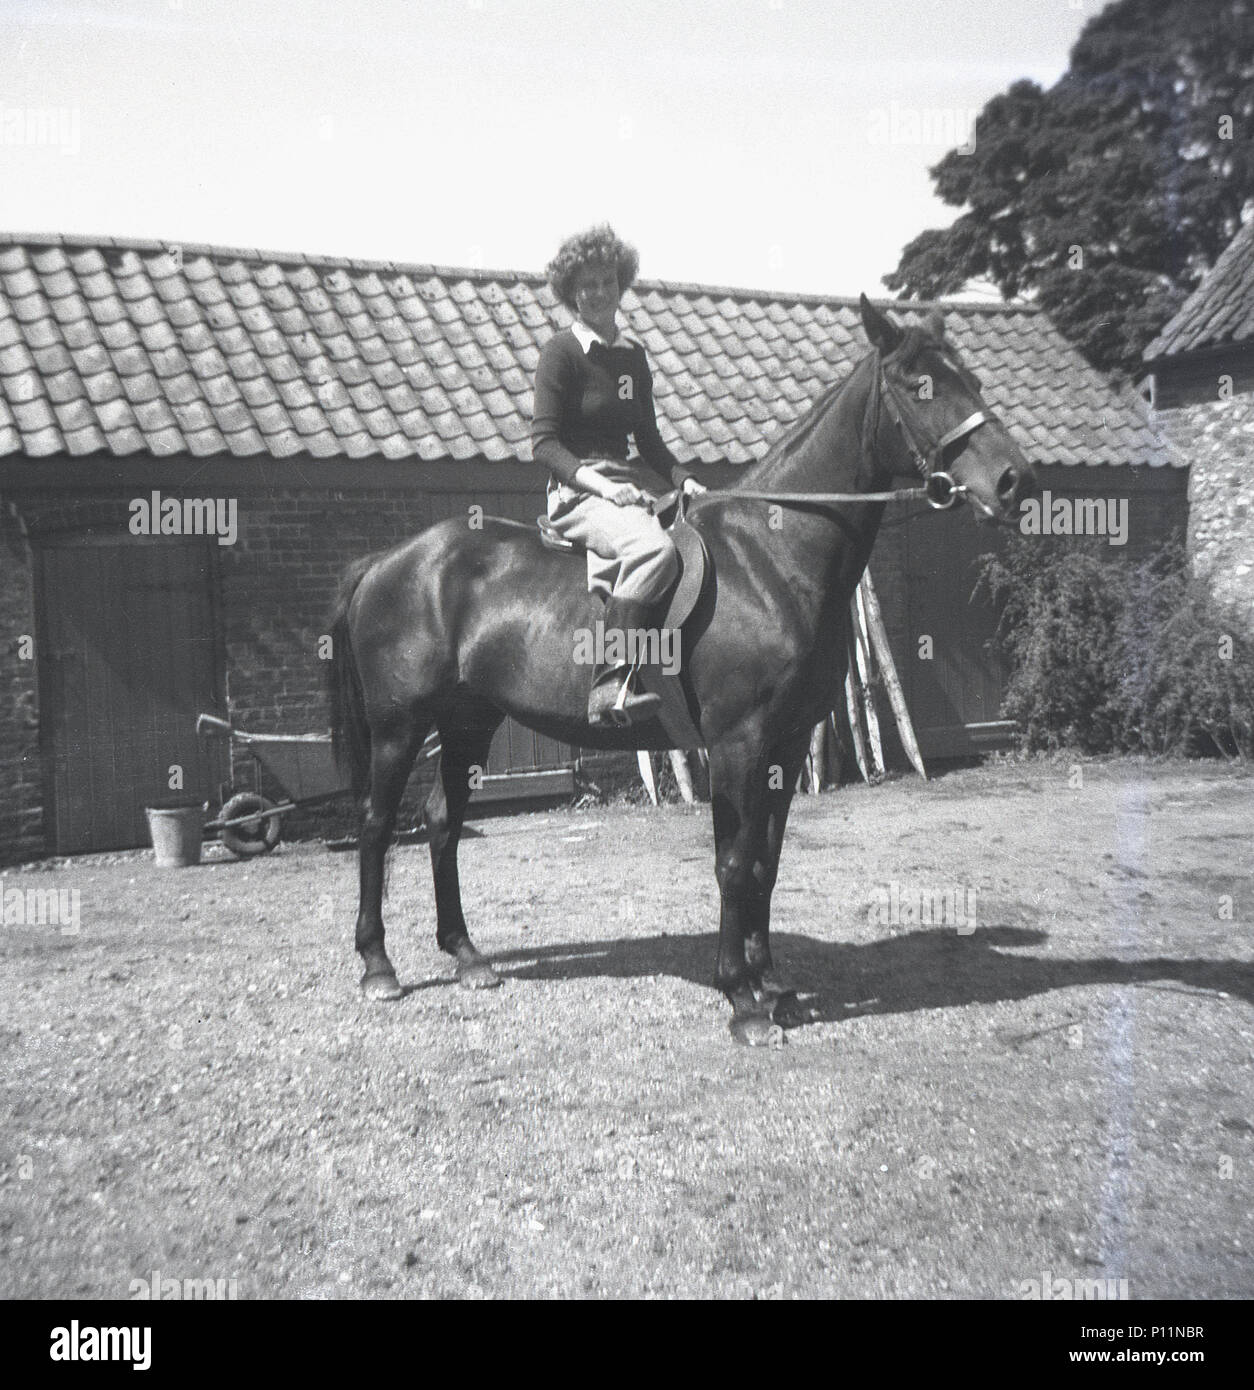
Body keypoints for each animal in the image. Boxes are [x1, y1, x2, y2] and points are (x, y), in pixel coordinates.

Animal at [327, 295, 1036, 1045]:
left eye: (973, 381)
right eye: (919, 384)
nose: (1016, 481)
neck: (770, 558)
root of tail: (388, 561)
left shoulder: (785, 745)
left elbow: (766, 862)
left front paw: (772, 985)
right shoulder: (738, 744)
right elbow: (733, 863)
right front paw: (742, 998)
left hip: (470, 722)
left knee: (442, 821)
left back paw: (467, 956)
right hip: (399, 728)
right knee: (377, 824)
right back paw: (378, 966)